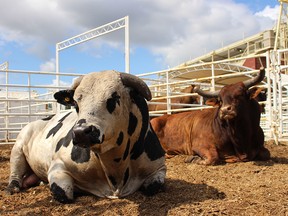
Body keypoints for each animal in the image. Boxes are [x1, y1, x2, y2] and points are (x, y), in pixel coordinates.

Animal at [6, 69, 166, 202]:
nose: (81, 132)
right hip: (18, 147)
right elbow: (64, 193)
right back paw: (12, 186)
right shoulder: (58, 167)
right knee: (15, 173)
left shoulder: (159, 168)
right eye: (76, 104)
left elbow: (154, 186)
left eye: (114, 98)